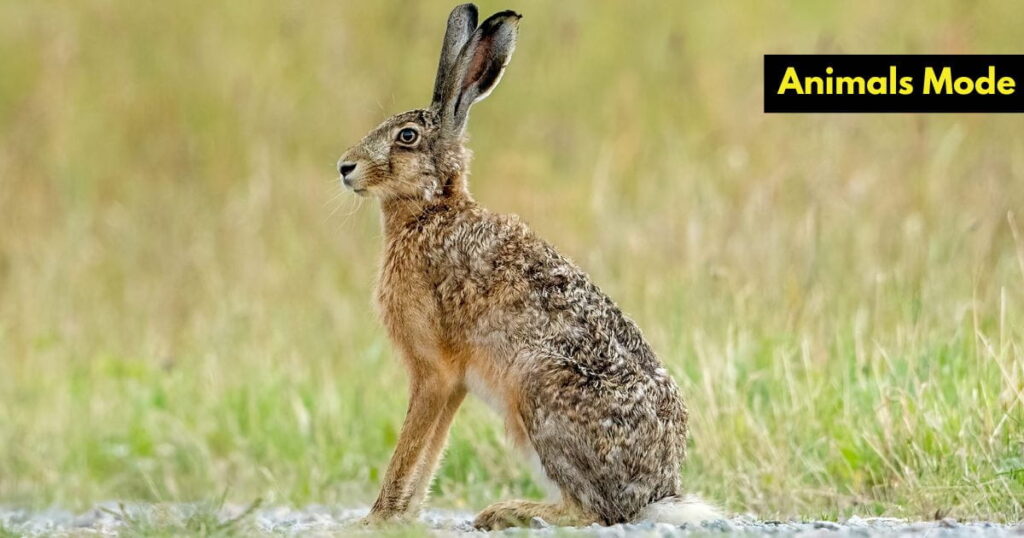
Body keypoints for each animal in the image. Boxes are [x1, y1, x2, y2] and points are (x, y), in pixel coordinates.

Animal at [336, 4, 720, 530]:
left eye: (406, 137)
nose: (344, 168)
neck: (432, 212)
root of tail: (655, 492)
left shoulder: (433, 371)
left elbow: (409, 448)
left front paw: (375, 520)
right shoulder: (453, 384)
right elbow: (429, 453)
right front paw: (404, 516)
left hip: (537, 386)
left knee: (593, 512)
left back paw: (506, 512)